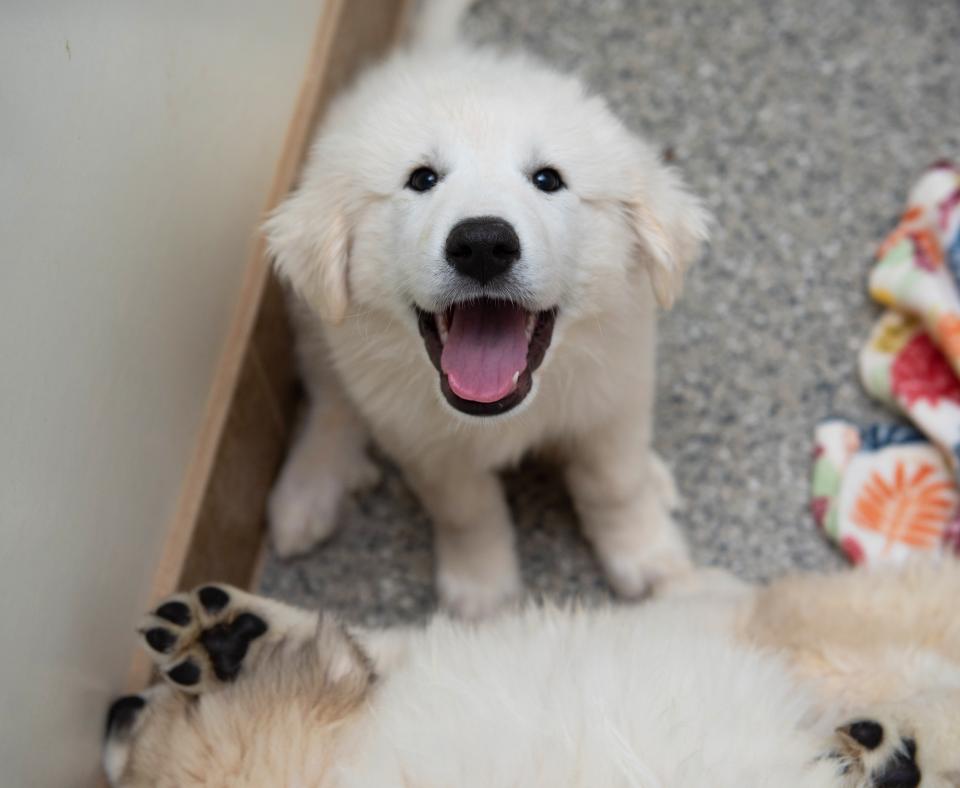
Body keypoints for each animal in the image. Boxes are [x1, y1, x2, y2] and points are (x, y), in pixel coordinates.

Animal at [266, 0, 708, 616]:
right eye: (421, 179)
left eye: (548, 179)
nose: (481, 243)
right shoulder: (422, 438)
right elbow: (466, 510)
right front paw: (482, 595)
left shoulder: (613, 395)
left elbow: (614, 484)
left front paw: (650, 561)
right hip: (314, 316)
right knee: (331, 400)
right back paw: (306, 492)